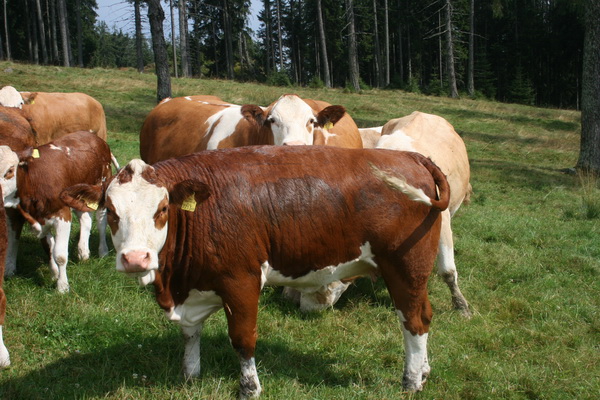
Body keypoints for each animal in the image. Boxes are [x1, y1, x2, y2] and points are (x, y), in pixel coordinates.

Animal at [0, 131, 114, 290]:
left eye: (10, 170)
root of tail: (93, 136)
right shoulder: (36, 217)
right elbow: (47, 247)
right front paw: (54, 274)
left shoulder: (62, 214)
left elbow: (60, 255)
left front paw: (62, 286)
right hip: (77, 195)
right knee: (85, 219)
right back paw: (83, 251)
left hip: (101, 186)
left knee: (101, 222)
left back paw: (103, 251)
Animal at [63, 144, 452, 396]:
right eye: (111, 211)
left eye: (161, 209)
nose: (135, 259)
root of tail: (409, 156)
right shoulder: (193, 290)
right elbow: (190, 334)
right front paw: (190, 376)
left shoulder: (242, 280)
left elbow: (243, 339)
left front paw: (249, 387)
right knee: (425, 316)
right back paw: (424, 372)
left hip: (406, 267)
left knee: (414, 320)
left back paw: (411, 381)